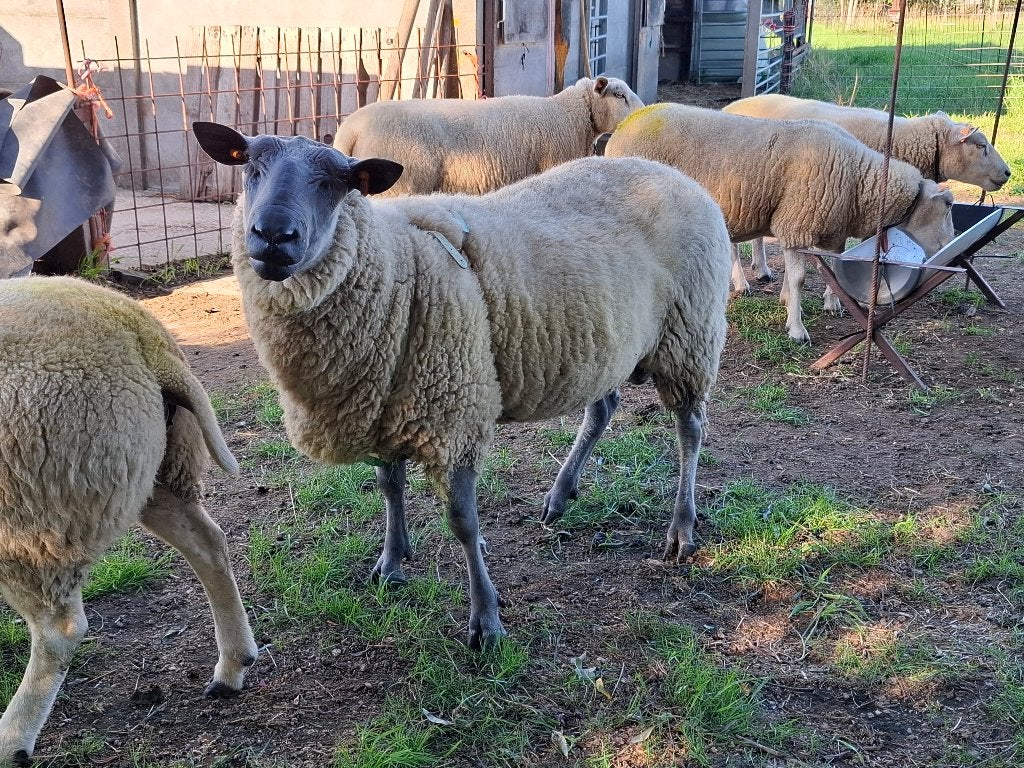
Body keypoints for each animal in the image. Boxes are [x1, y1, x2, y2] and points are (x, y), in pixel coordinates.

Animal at [0, 276, 258, 764]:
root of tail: (139, 333)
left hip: (35, 512)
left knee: (60, 629)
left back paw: (12, 739)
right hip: (152, 470)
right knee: (209, 544)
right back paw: (232, 666)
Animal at [192, 120, 732, 650]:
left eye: (335, 183)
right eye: (251, 167)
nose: (272, 235)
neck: (398, 266)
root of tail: (670, 172)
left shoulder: (453, 417)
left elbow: (463, 523)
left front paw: (485, 620)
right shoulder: (386, 401)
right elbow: (389, 487)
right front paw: (392, 560)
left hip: (689, 336)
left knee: (691, 430)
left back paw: (682, 528)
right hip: (608, 343)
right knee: (602, 409)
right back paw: (560, 496)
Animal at [603, 102, 955, 343]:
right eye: (949, 206)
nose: (948, 249)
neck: (858, 179)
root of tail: (623, 127)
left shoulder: (829, 231)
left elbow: (829, 270)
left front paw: (824, 303)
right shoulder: (797, 224)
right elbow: (799, 278)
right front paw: (797, 329)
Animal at [722, 94, 1010, 293]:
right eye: (981, 145)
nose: (1008, 173)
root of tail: (731, 106)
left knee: (756, 235)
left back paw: (762, 269)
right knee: (733, 244)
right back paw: (741, 282)